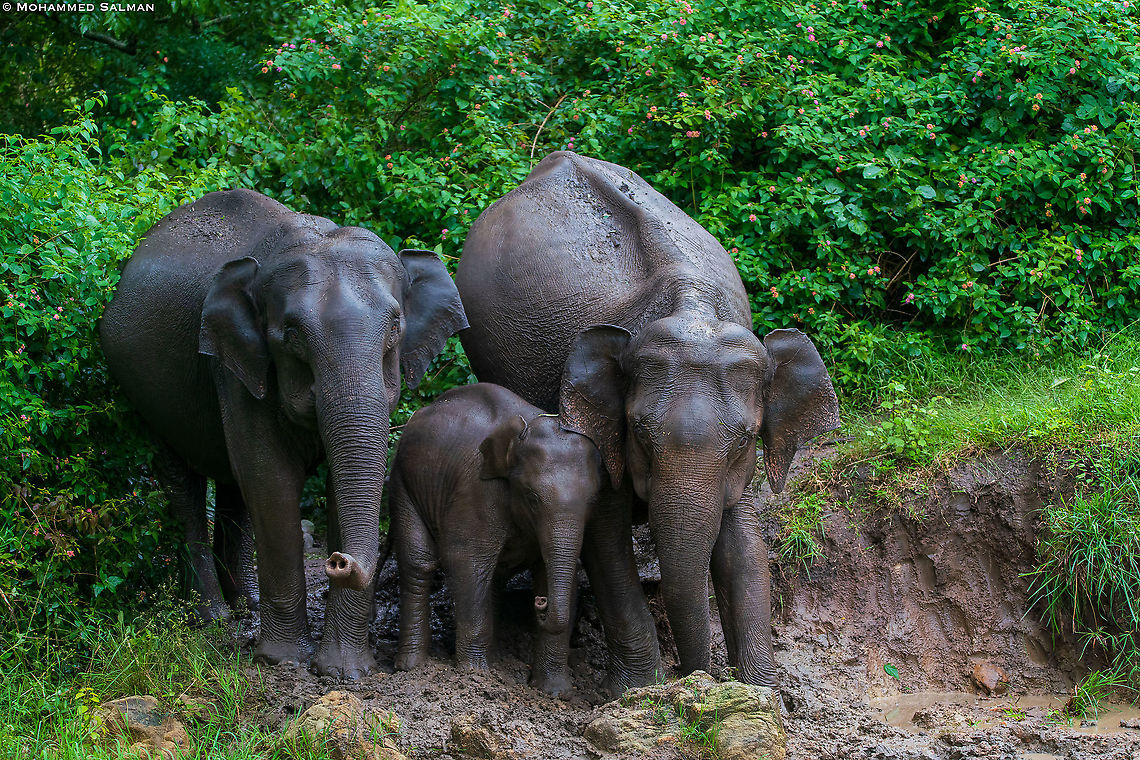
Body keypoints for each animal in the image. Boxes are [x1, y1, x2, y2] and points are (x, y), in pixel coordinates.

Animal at [99, 188, 468, 678]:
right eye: (291, 335)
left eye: (395, 327)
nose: (337, 560)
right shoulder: (236, 366)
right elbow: (270, 479)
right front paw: (284, 662)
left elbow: (327, 483)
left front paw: (345, 672)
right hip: (144, 389)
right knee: (184, 484)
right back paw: (214, 618)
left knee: (233, 484)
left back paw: (246, 607)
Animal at [389, 383, 604, 697]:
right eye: (532, 497)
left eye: (593, 502)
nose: (540, 602)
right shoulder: (478, 491)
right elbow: (464, 559)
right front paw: (473, 675)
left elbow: (553, 571)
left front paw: (554, 693)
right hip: (403, 480)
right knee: (419, 563)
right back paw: (412, 667)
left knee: (492, 579)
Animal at [455, 152, 840, 690]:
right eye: (639, 432)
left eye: (746, 440)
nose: (695, 675)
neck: (691, 306)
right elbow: (605, 541)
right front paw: (638, 690)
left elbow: (744, 548)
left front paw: (761, 691)